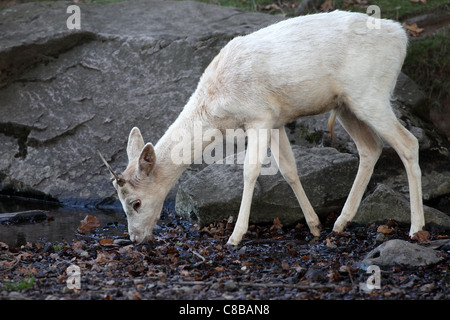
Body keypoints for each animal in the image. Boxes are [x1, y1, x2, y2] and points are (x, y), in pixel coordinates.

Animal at [98, 10, 426, 245]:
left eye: (136, 202)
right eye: (121, 202)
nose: (135, 239)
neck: (218, 108)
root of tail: (402, 37)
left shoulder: (259, 116)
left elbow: (251, 169)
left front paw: (235, 236)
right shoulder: (276, 120)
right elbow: (288, 169)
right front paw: (314, 226)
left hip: (370, 93)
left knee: (408, 142)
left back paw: (416, 228)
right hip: (346, 105)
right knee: (371, 148)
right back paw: (340, 223)